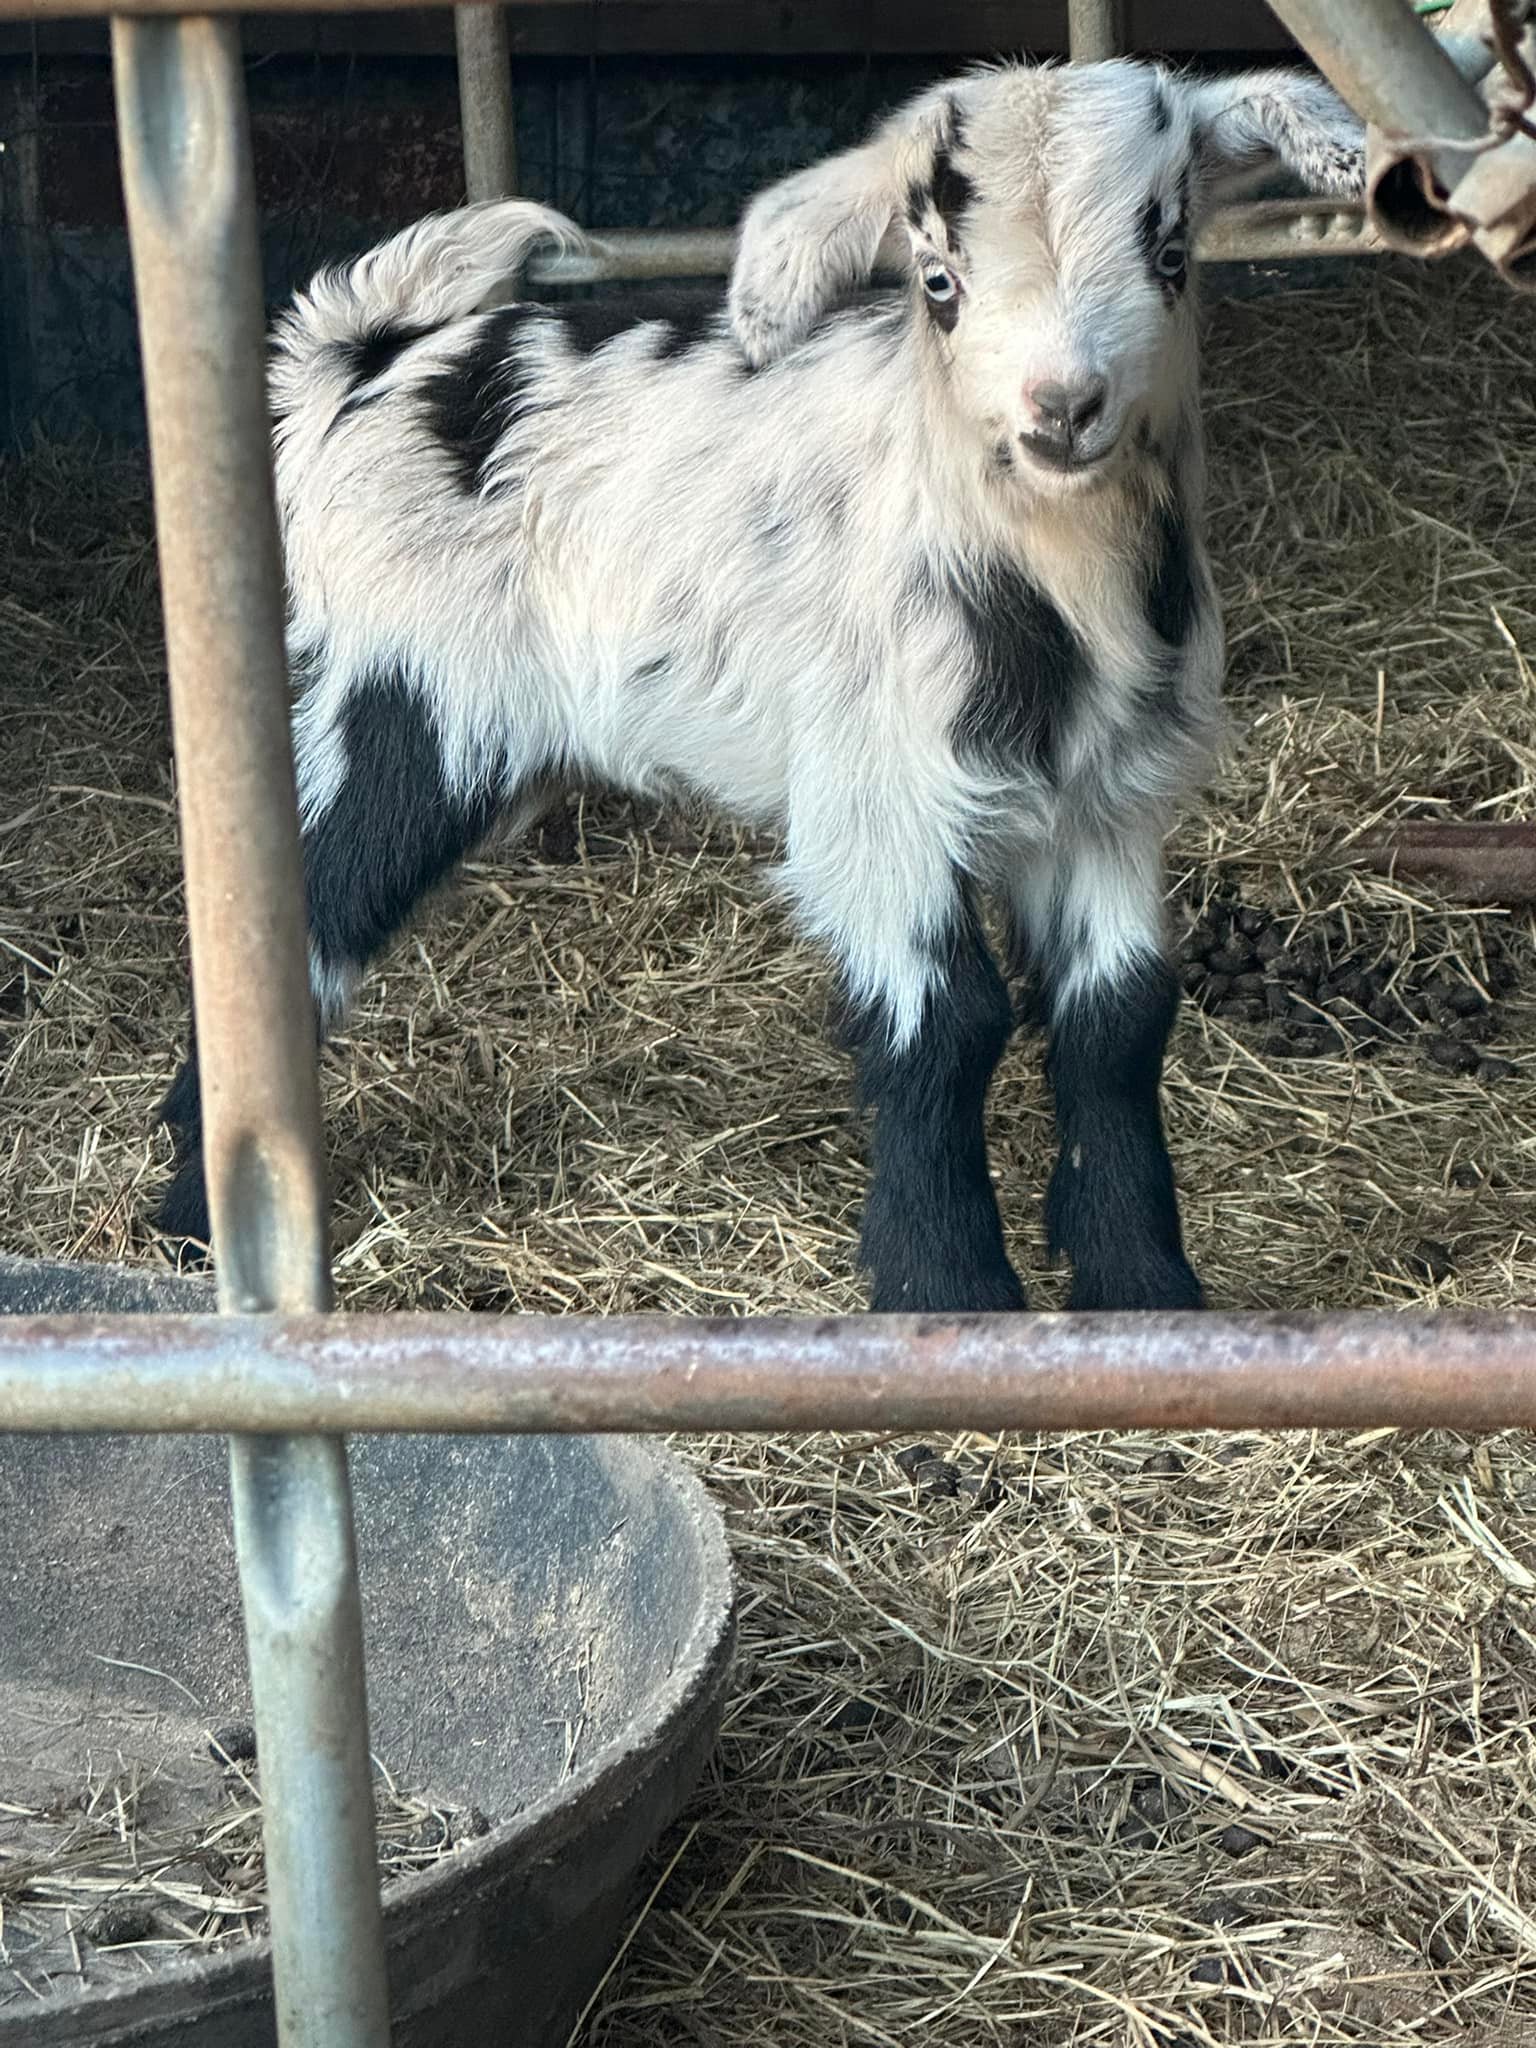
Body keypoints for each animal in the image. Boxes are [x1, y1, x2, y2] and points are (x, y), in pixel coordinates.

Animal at [155, 56, 1365, 1312]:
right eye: (937, 279)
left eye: (1172, 253)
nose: (1062, 407)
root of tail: (365, 365)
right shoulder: (876, 792)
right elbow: (944, 1025)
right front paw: (946, 1288)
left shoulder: (1106, 801)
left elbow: (1118, 1021)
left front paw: (1139, 1280)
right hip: (404, 685)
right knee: (297, 912)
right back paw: (205, 1221)